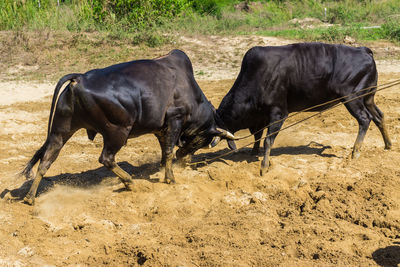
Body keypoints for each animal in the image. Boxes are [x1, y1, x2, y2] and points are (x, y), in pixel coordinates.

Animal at [21, 49, 234, 205]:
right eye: (201, 140)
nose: (185, 160)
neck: (189, 89)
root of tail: (80, 78)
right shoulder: (175, 118)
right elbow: (168, 150)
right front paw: (170, 178)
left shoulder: (160, 128)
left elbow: (164, 149)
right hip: (118, 131)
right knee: (106, 158)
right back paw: (129, 181)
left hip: (61, 131)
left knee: (46, 159)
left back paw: (30, 197)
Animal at [217, 42, 392, 175]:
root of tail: (363, 50)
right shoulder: (260, 118)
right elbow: (258, 136)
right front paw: (254, 152)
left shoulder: (278, 113)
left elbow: (268, 140)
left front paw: (264, 167)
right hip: (368, 98)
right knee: (379, 116)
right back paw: (388, 145)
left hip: (352, 98)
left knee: (365, 119)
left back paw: (355, 152)